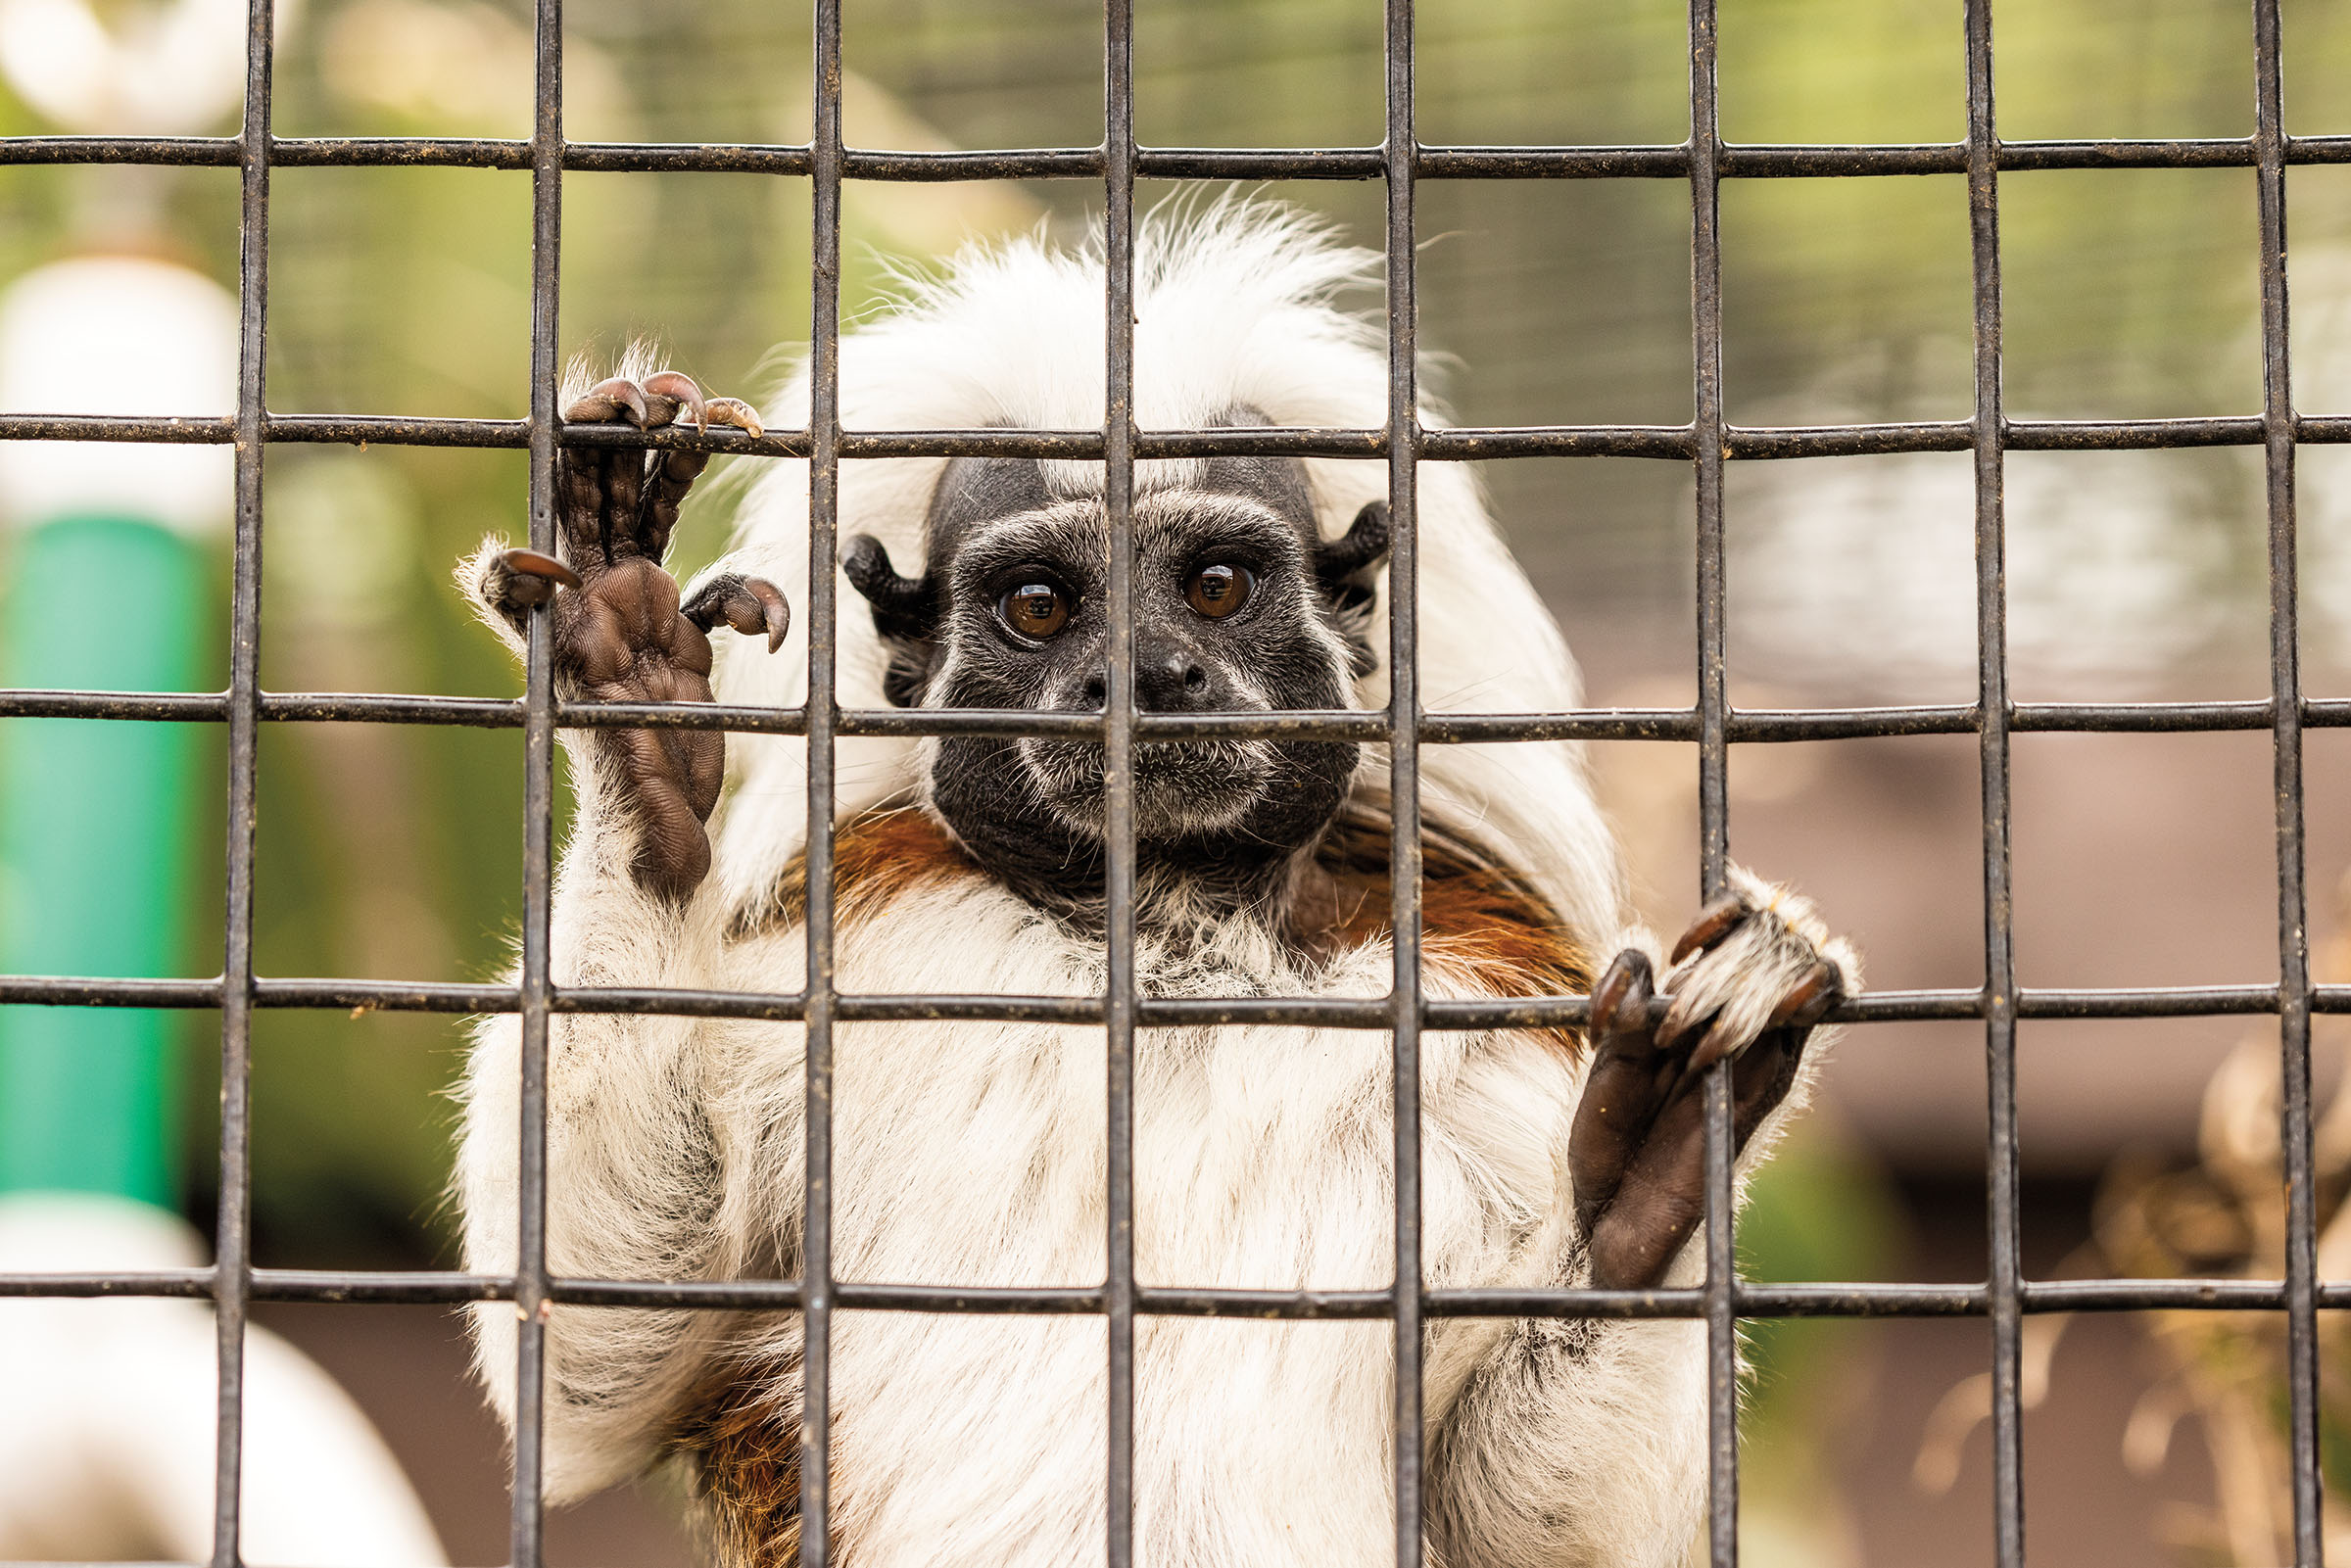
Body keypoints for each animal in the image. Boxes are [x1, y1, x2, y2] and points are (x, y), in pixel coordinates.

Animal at [454, 202, 1852, 1568]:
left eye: (1214, 587)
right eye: (1038, 606)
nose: (1140, 675)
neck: (1164, 937)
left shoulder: (1489, 1008)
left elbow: (1539, 1516)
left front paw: (1649, 1181)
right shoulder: (844, 935)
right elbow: (594, 1361)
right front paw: (641, 725)